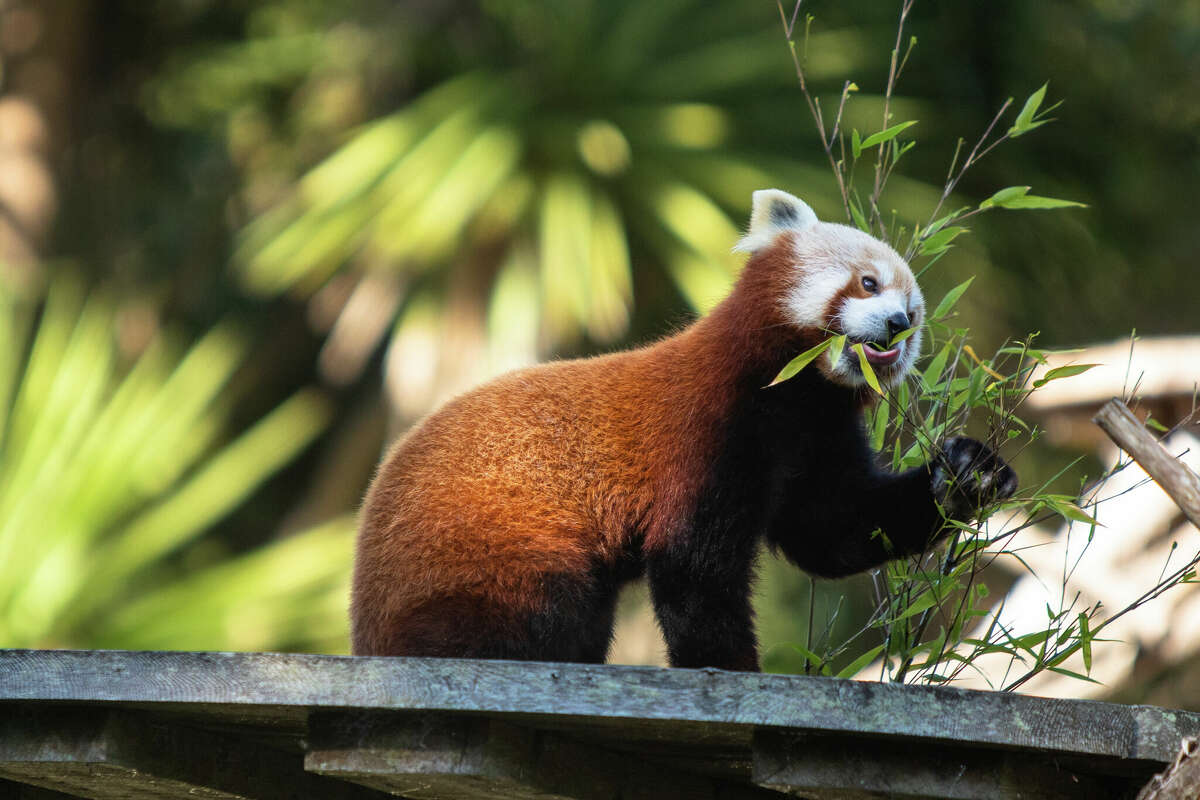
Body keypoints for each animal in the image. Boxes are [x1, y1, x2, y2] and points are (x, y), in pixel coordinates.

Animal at [350, 189, 1017, 671]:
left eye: (917, 313)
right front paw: (733, 670)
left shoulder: (815, 437)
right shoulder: (706, 431)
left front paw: (968, 474)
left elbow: (835, 529)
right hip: (493, 552)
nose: (899, 323)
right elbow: (694, 572)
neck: (795, 394)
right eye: (868, 283)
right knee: (545, 614)